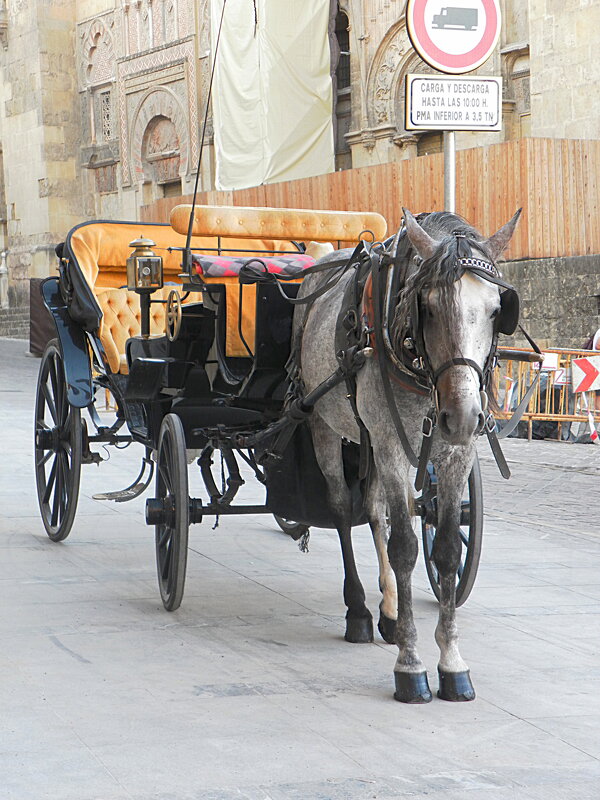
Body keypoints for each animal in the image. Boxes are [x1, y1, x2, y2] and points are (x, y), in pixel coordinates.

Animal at [296, 209, 520, 704]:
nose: (462, 415)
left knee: (373, 508)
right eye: (429, 308)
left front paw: (452, 663)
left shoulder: (454, 453)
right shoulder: (392, 446)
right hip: (324, 424)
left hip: (370, 439)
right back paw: (360, 612)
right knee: (343, 508)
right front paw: (411, 664)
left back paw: (391, 610)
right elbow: (404, 548)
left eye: (497, 310)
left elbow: (446, 550)